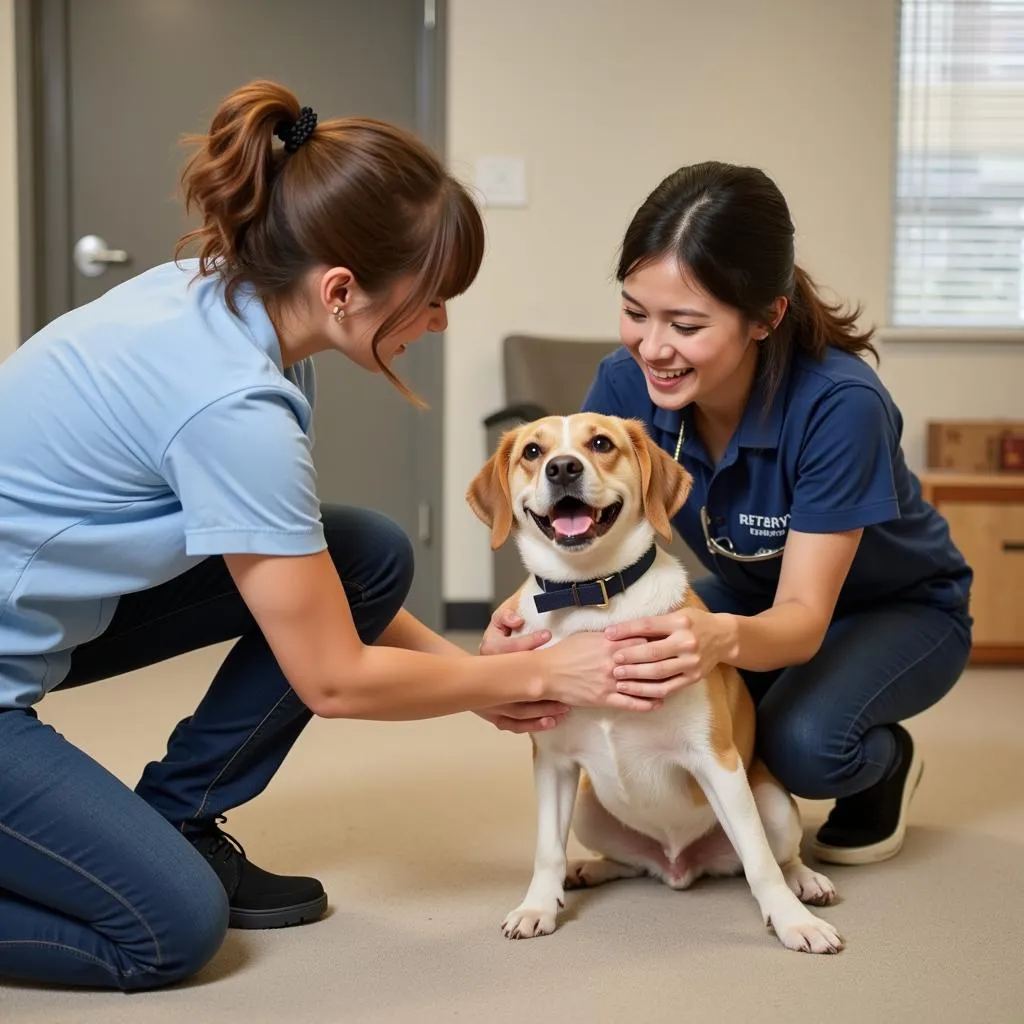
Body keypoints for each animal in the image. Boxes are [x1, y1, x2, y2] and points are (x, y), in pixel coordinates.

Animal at [468, 411, 843, 954]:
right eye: (533, 452)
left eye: (601, 444)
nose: (563, 468)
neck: (590, 598)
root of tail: (679, 866)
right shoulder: (554, 762)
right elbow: (547, 850)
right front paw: (539, 906)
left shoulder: (716, 761)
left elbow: (759, 862)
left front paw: (794, 922)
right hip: (590, 808)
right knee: (629, 864)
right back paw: (586, 869)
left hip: (770, 802)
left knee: (777, 855)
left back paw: (805, 882)